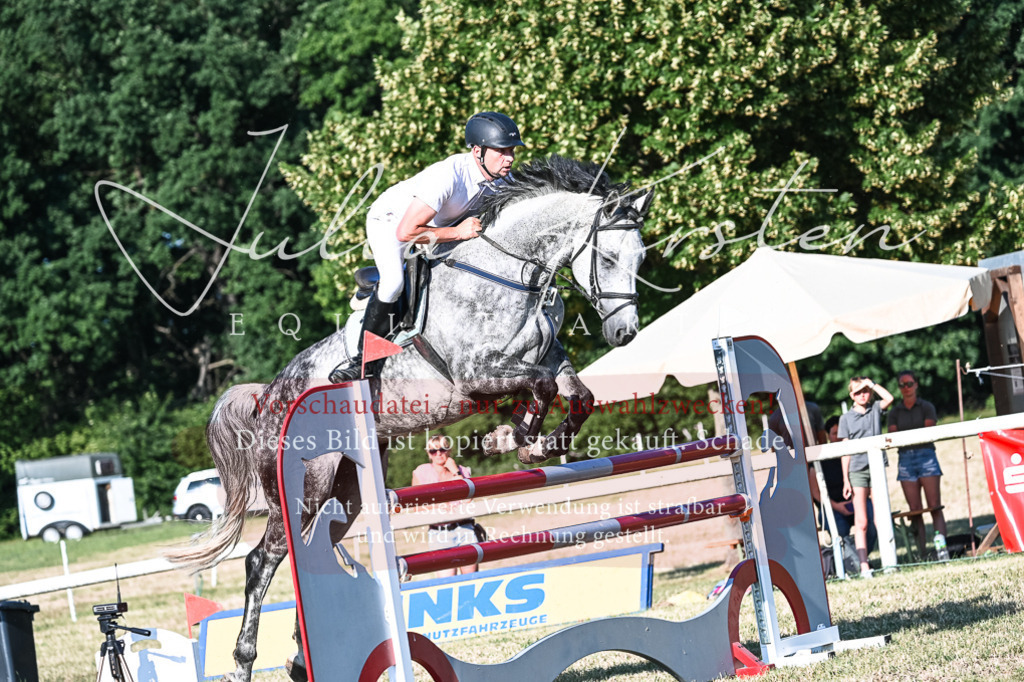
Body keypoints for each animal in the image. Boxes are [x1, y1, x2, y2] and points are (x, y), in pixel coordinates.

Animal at [166, 155, 654, 681]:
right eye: (608, 259)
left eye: (640, 260)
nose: (625, 333)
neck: (507, 273)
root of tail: (271, 396)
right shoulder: (476, 374)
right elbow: (540, 389)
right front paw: (515, 439)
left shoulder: (548, 359)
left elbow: (577, 396)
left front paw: (540, 444)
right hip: (305, 487)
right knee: (263, 560)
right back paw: (242, 662)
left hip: (347, 491)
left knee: (313, 552)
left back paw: (301, 660)